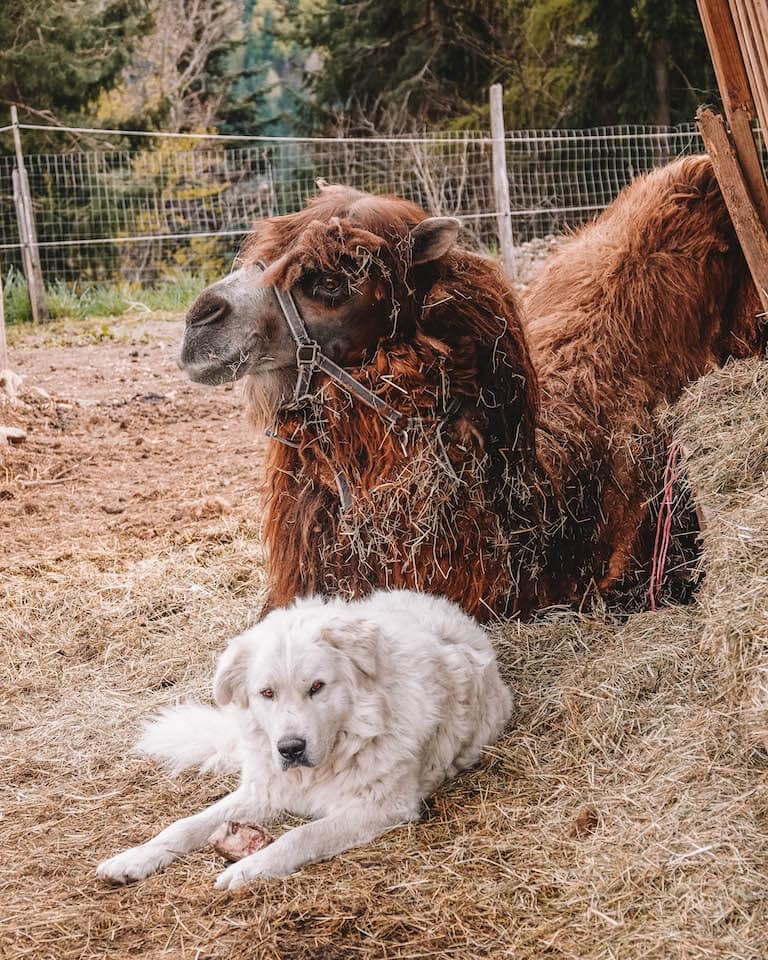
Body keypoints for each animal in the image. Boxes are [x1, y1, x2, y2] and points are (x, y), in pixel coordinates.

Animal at [97, 588, 516, 888]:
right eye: (267, 693)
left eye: (317, 687)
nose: (290, 748)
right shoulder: (264, 791)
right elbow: (184, 825)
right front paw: (135, 857)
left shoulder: (381, 807)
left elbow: (301, 835)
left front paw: (251, 868)